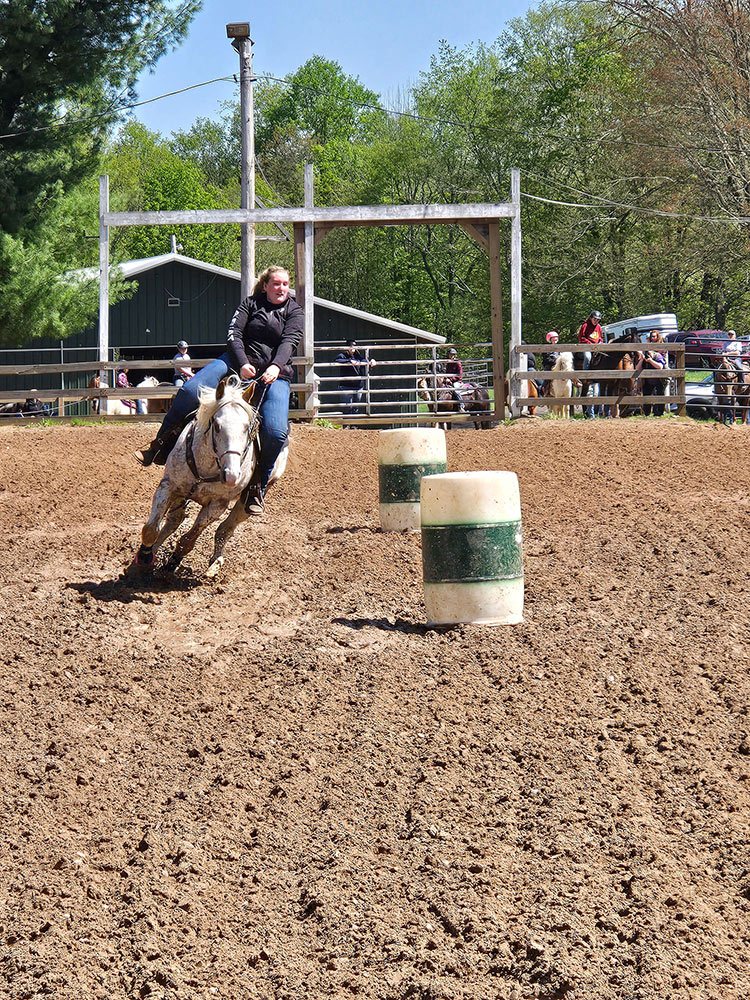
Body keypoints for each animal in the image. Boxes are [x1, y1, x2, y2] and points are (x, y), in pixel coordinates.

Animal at [132, 376, 288, 579]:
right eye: (217, 426)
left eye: (248, 427)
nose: (232, 476)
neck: (205, 467)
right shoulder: (168, 486)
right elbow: (151, 529)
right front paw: (144, 557)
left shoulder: (218, 505)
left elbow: (189, 539)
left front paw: (172, 563)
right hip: (180, 494)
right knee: (174, 521)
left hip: (249, 501)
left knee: (224, 530)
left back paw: (214, 564)